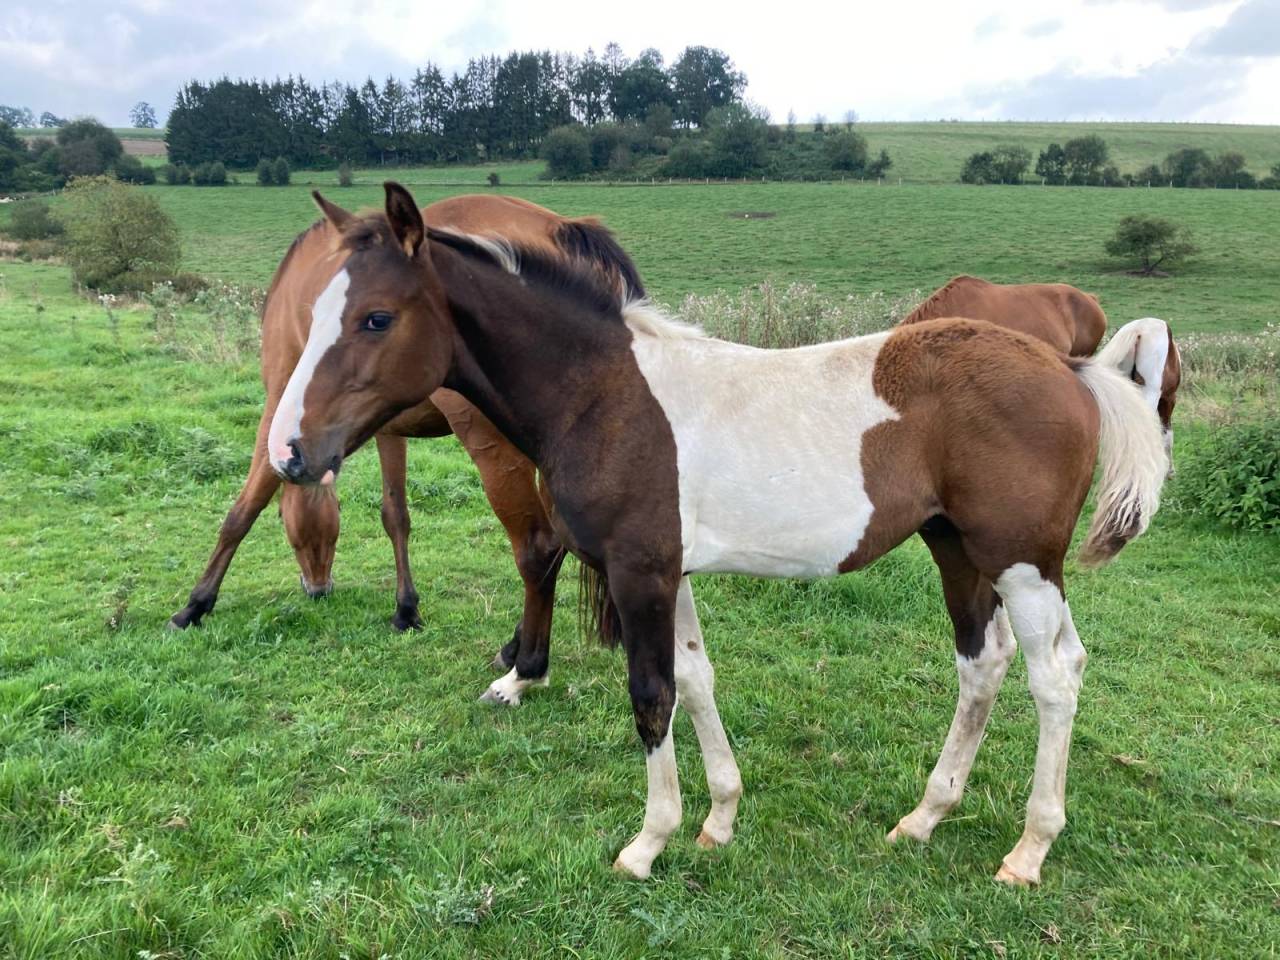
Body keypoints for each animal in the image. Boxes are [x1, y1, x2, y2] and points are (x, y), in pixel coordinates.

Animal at [170, 193, 644, 705]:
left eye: (310, 536)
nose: (318, 589)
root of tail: (562, 227)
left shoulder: (279, 407)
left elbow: (243, 510)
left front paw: (195, 604)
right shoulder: (384, 426)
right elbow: (395, 515)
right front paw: (406, 609)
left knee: (539, 546)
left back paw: (523, 668)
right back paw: (514, 647)